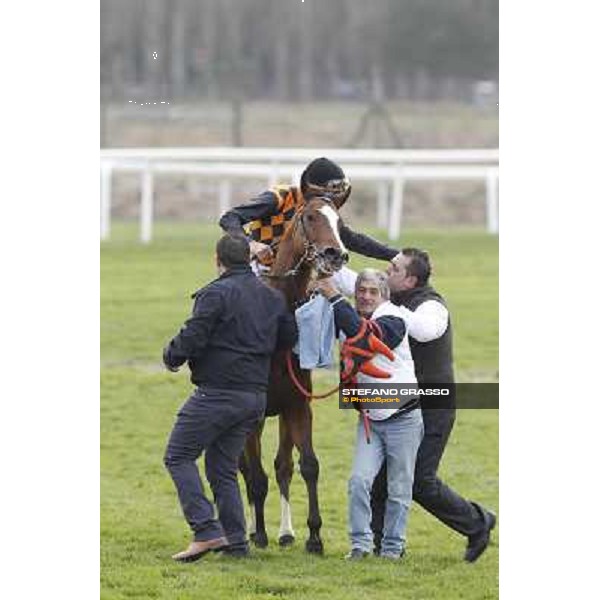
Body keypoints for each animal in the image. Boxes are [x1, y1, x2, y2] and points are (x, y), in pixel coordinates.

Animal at [239, 196, 350, 552]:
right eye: (311, 217)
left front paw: (314, 536)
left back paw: (286, 533)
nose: (335, 254)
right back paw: (250, 529)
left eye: (339, 223)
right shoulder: (253, 414)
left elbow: (308, 466)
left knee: (283, 466)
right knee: (244, 469)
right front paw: (258, 534)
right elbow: (255, 477)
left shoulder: (298, 406)